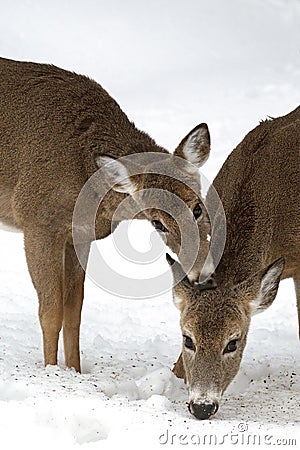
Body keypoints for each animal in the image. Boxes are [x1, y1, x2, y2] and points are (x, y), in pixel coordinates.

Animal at [0, 56, 211, 372]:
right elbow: (50, 312)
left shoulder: (78, 235)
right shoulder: (36, 220)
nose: (202, 273)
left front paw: (75, 371)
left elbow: (73, 311)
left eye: (197, 206)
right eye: (157, 223)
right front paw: (51, 372)